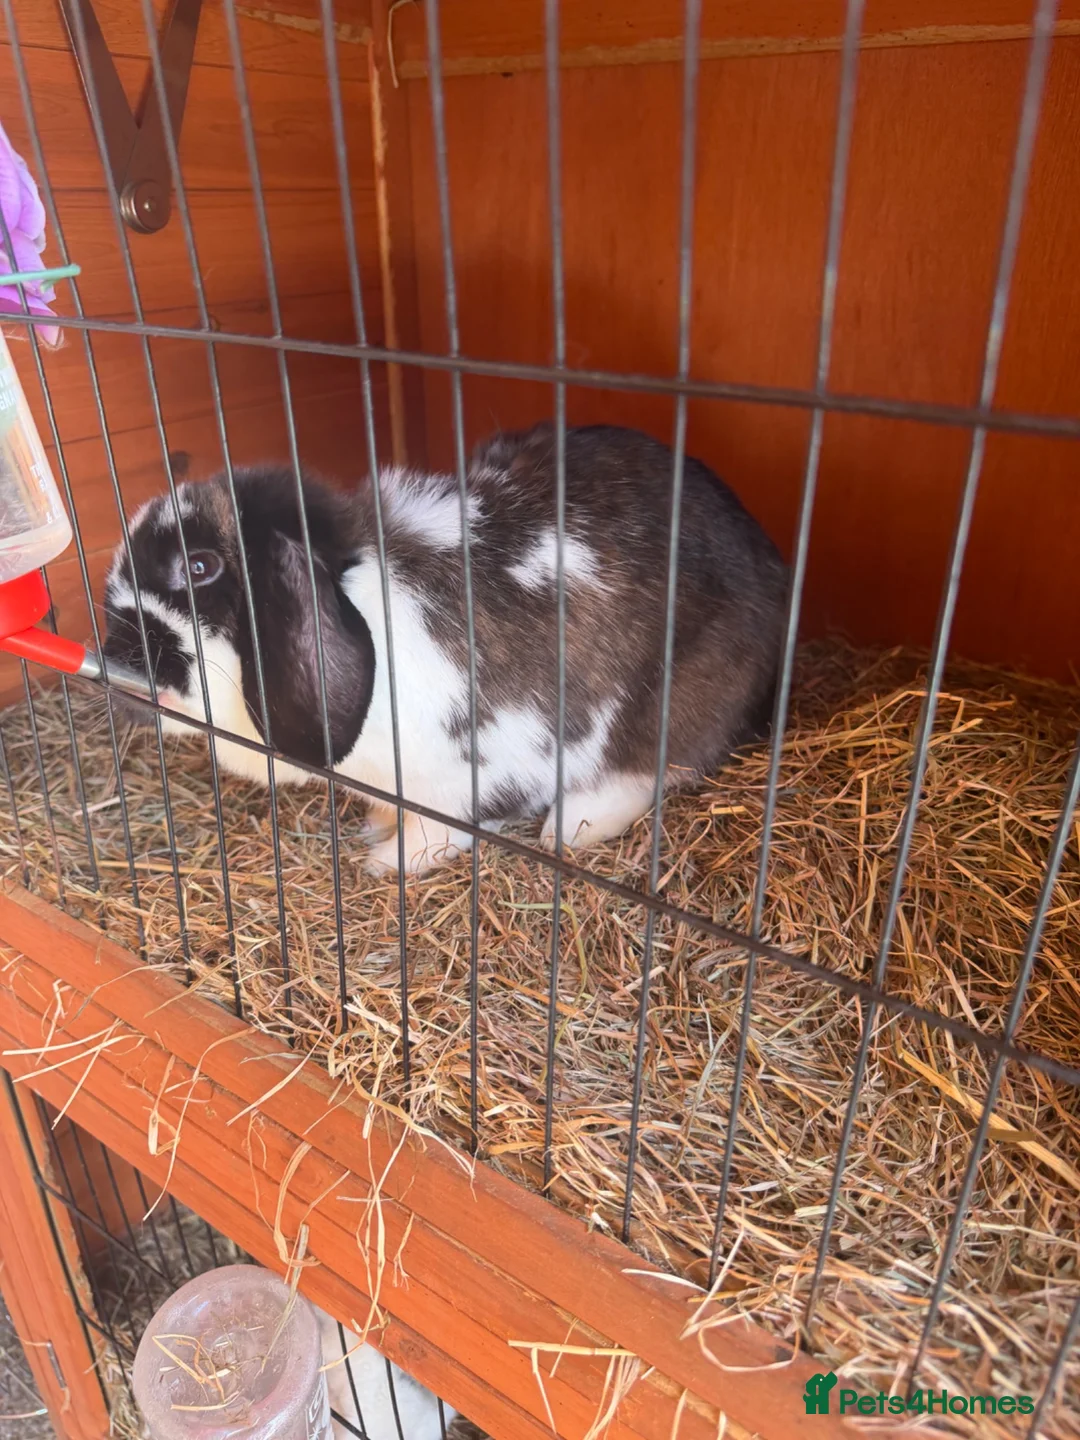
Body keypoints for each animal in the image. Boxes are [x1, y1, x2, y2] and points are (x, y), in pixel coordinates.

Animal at [101, 423, 788, 876]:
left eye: (199, 566)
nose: (115, 655)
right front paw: (378, 825)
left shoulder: (479, 767)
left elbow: (442, 828)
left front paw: (388, 860)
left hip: (683, 694)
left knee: (660, 765)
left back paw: (574, 825)